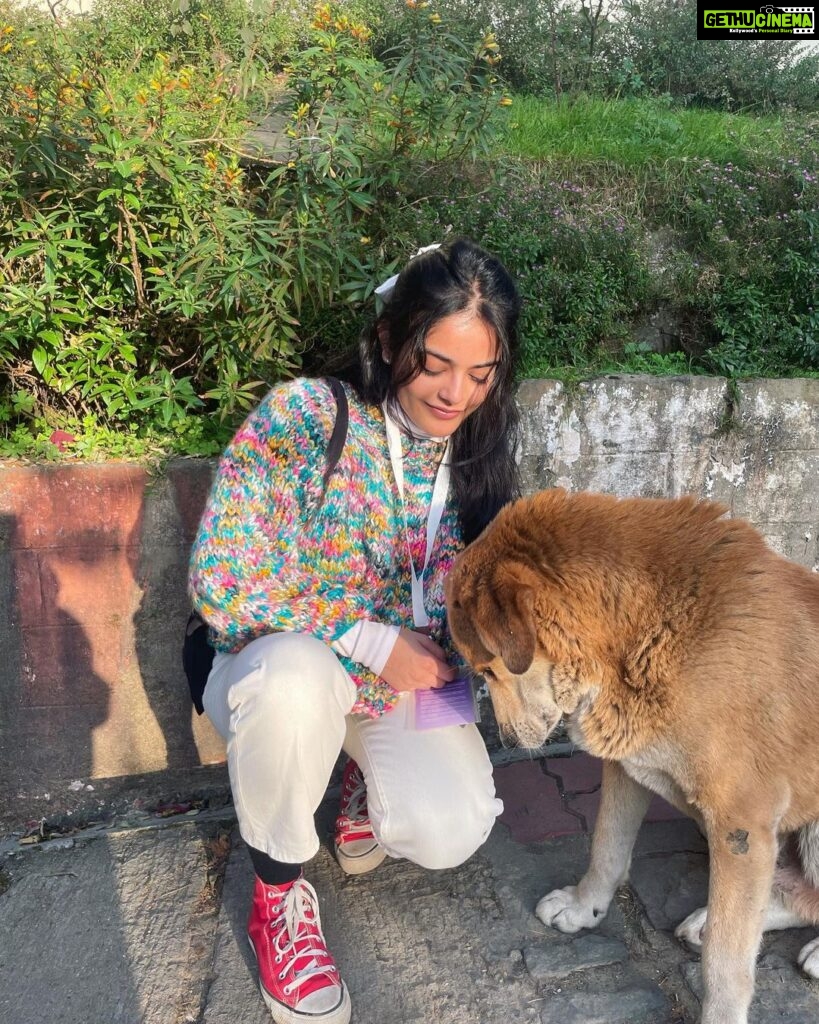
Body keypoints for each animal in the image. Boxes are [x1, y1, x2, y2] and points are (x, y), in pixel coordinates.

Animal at [444, 487, 818, 1024]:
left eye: (490, 670)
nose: (510, 745)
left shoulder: (741, 826)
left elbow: (726, 960)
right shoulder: (629, 767)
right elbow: (606, 846)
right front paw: (585, 908)